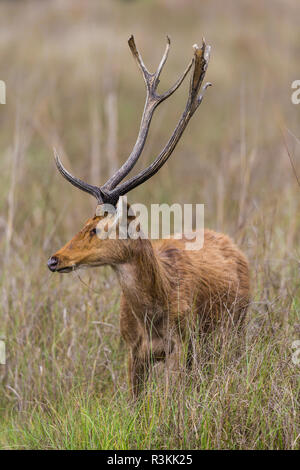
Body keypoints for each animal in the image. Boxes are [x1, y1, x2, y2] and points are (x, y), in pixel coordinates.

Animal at [47, 36, 251, 398]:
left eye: (97, 230)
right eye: (84, 223)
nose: (54, 260)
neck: (154, 313)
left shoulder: (182, 344)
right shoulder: (132, 350)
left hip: (235, 327)